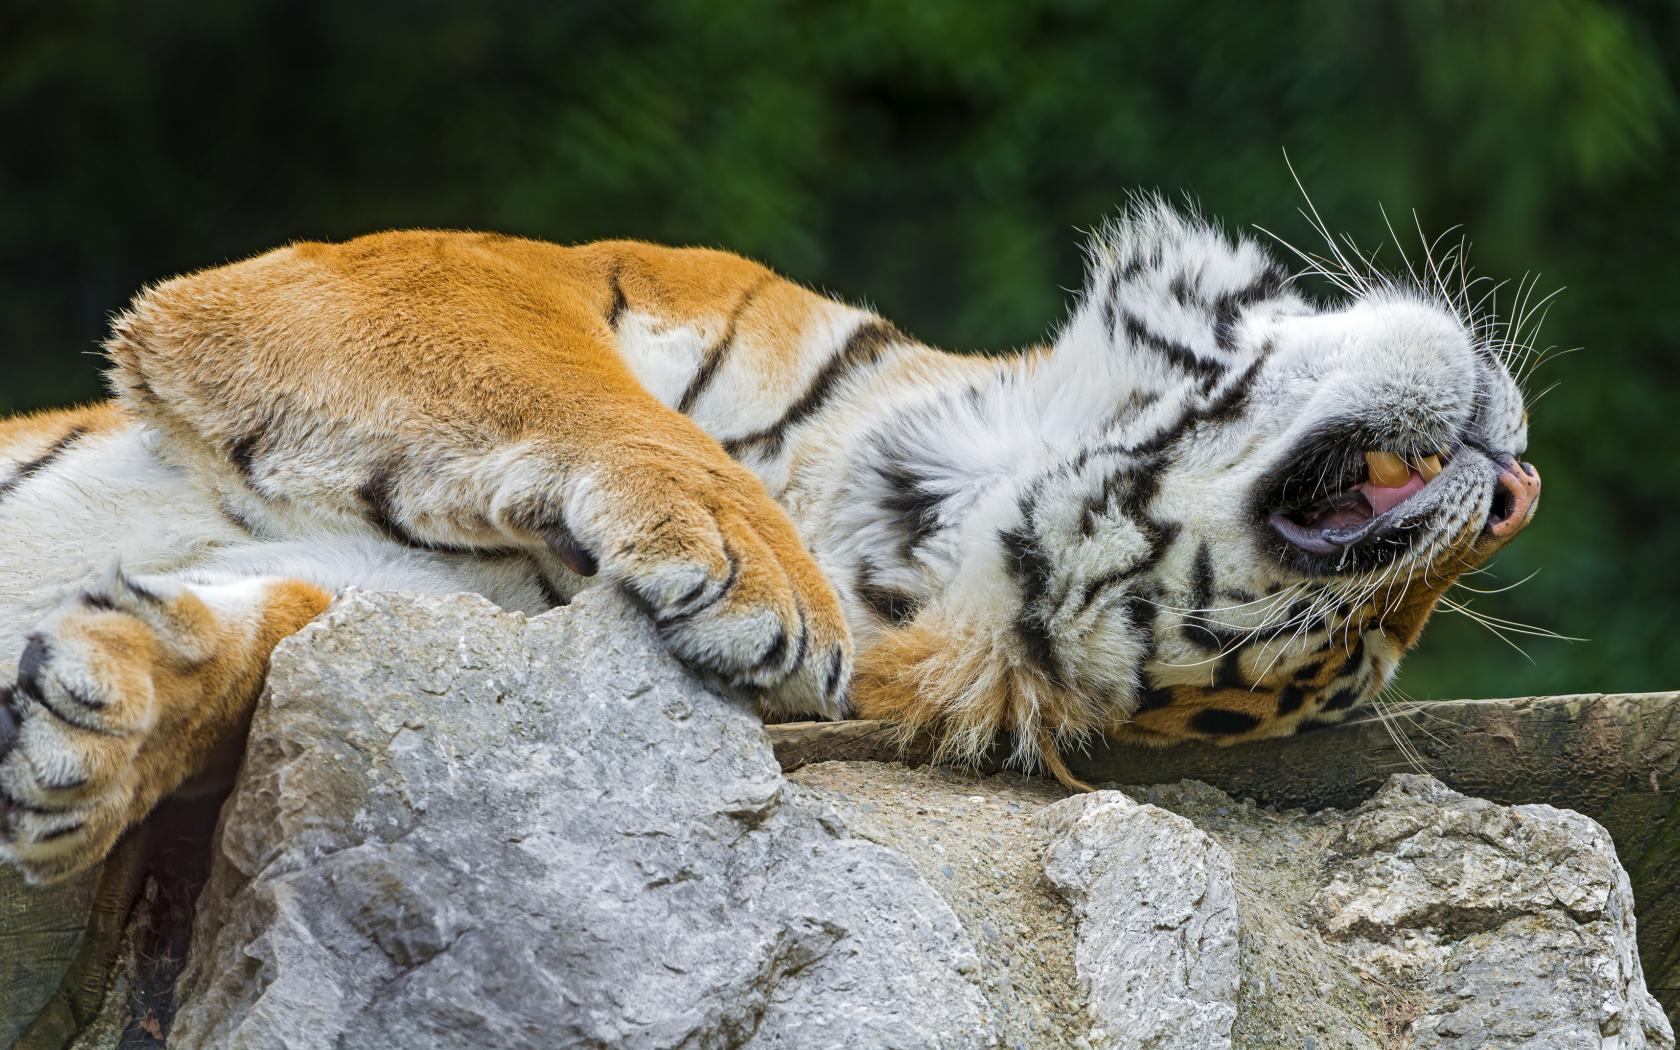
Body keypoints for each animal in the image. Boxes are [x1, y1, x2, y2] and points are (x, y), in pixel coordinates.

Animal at [0, 200, 1538, 880]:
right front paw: (761, 572)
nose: (1520, 490)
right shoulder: (409, 273)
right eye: (1380, 623)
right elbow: (567, 386)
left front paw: (102, 730)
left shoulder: (454, 603)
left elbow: (275, 633)